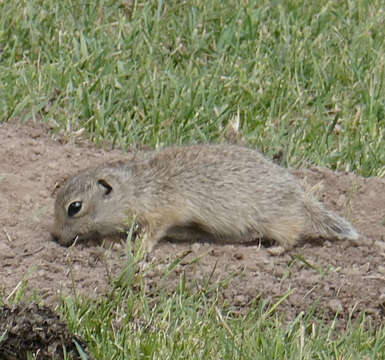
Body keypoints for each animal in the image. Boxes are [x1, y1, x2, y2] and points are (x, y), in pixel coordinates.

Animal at [51, 145, 356, 252]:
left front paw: (135, 248)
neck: (136, 189)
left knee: (292, 231)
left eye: (74, 207)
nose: (55, 237)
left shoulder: (161, 212)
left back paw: (277, 249)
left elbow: (151, 233)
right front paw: (112, 240)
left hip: (276, 218)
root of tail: (299, 193)